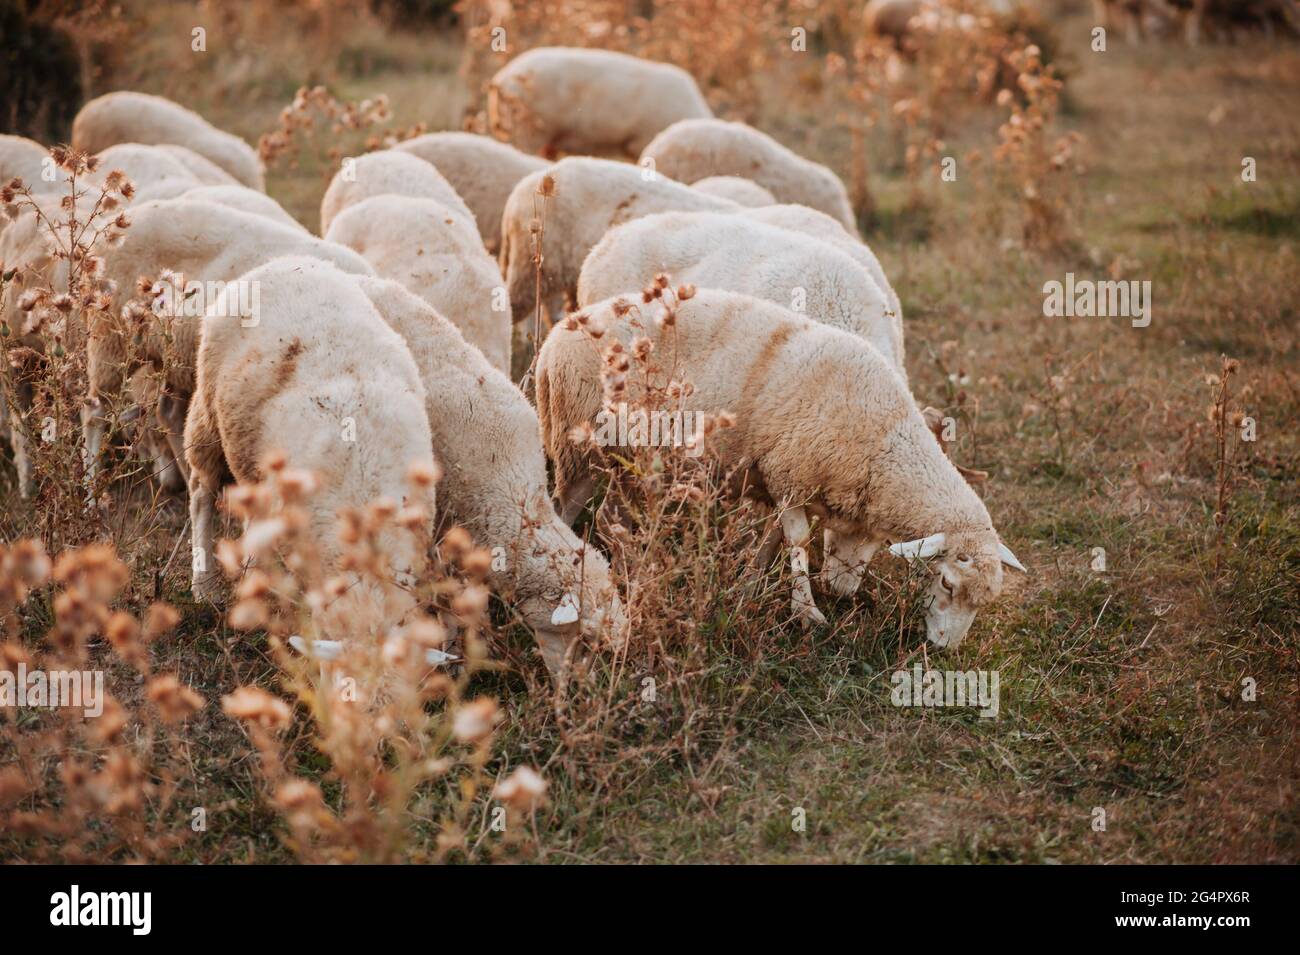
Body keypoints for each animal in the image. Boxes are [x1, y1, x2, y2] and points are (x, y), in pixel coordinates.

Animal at [536, 288, 1025, 646]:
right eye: (947, 584)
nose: (944, 649)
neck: (883, 439)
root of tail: (554, 339)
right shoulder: (792, 472)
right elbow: (797, 541)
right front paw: (807, 612)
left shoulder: (781, 477)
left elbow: (773, 540)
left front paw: (749, 588)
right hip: (585, 445)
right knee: (582, 515)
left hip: (611, 462)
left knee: (593, 516)